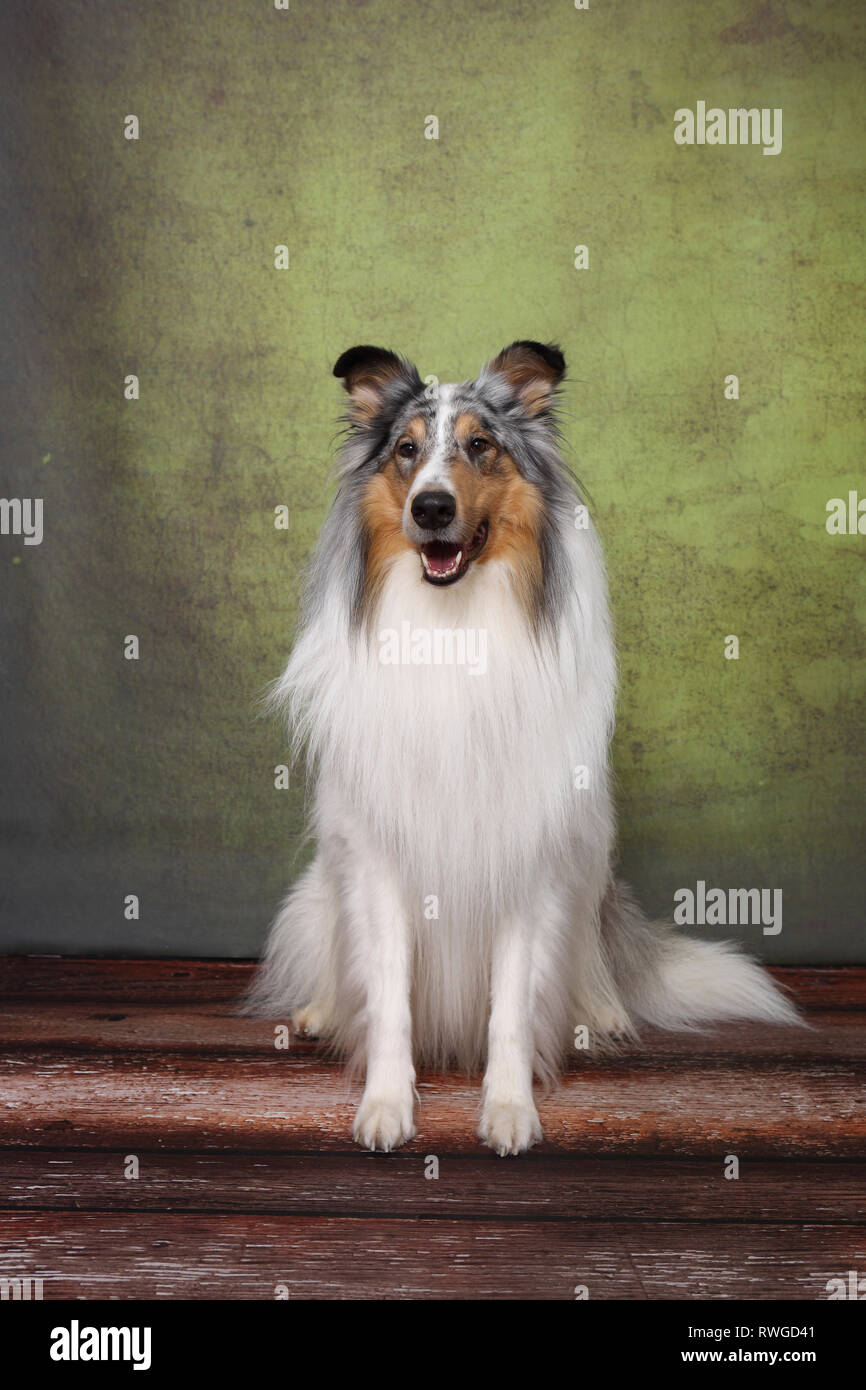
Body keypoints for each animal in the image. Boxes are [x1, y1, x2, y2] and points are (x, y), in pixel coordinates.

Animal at [244, 341, 800, 1156]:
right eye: (407, 450)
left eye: (481, 445)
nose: (431, 508)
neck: (451, 626)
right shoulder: (377, 860)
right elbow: (388, 998)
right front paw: (386, 1104)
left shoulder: (527, 858)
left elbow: (511, 1005)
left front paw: (509, 1110)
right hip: (324, 883)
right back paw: (320, 1011)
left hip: (588, 859)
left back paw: (599, 1012)